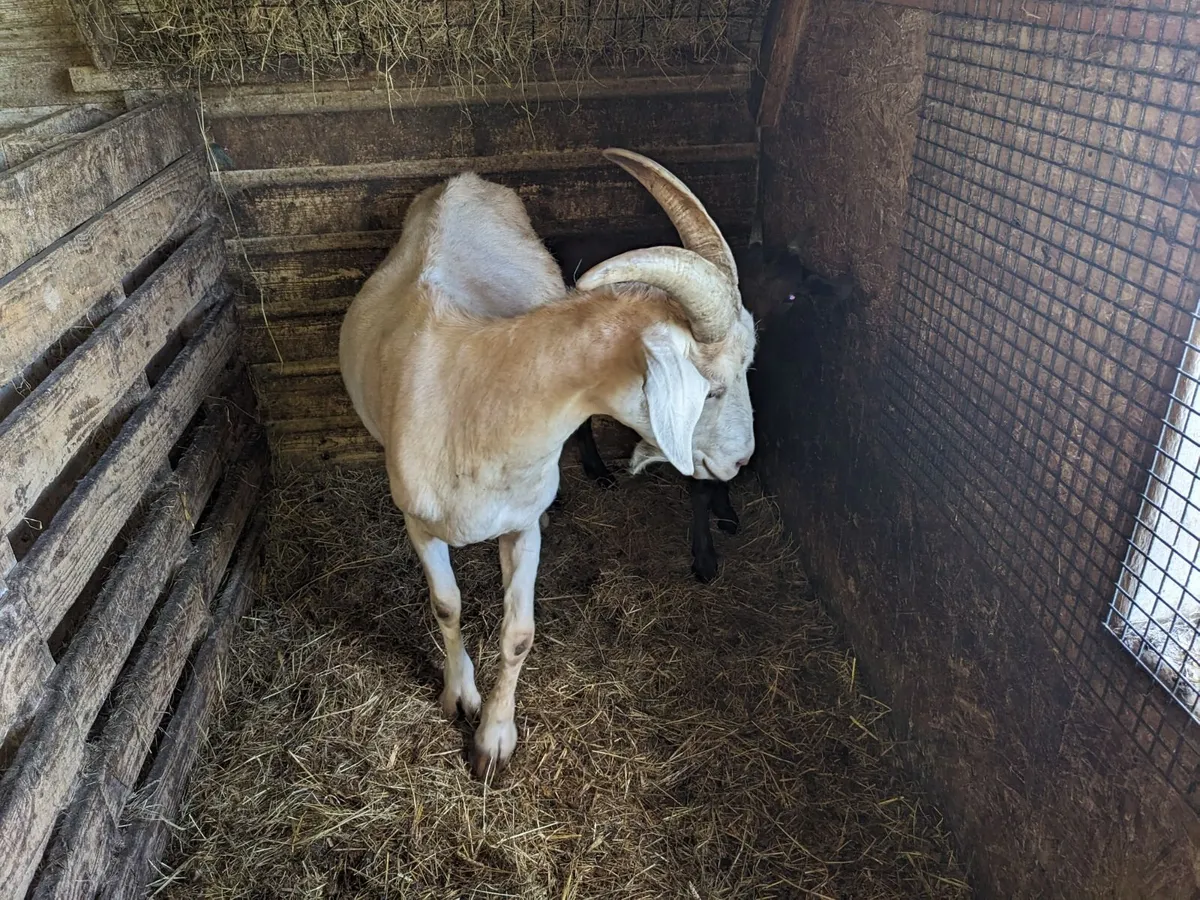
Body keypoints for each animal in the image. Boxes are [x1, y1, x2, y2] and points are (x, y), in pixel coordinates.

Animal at [338, 149, 757, 778]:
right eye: (711, 389)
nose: (741, 459)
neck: (477, 397)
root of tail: (463, 181)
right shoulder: (418, 523)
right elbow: (446, 606)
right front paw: (458, 697)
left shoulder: (519, 524)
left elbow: (517, 634)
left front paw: (493, 741)